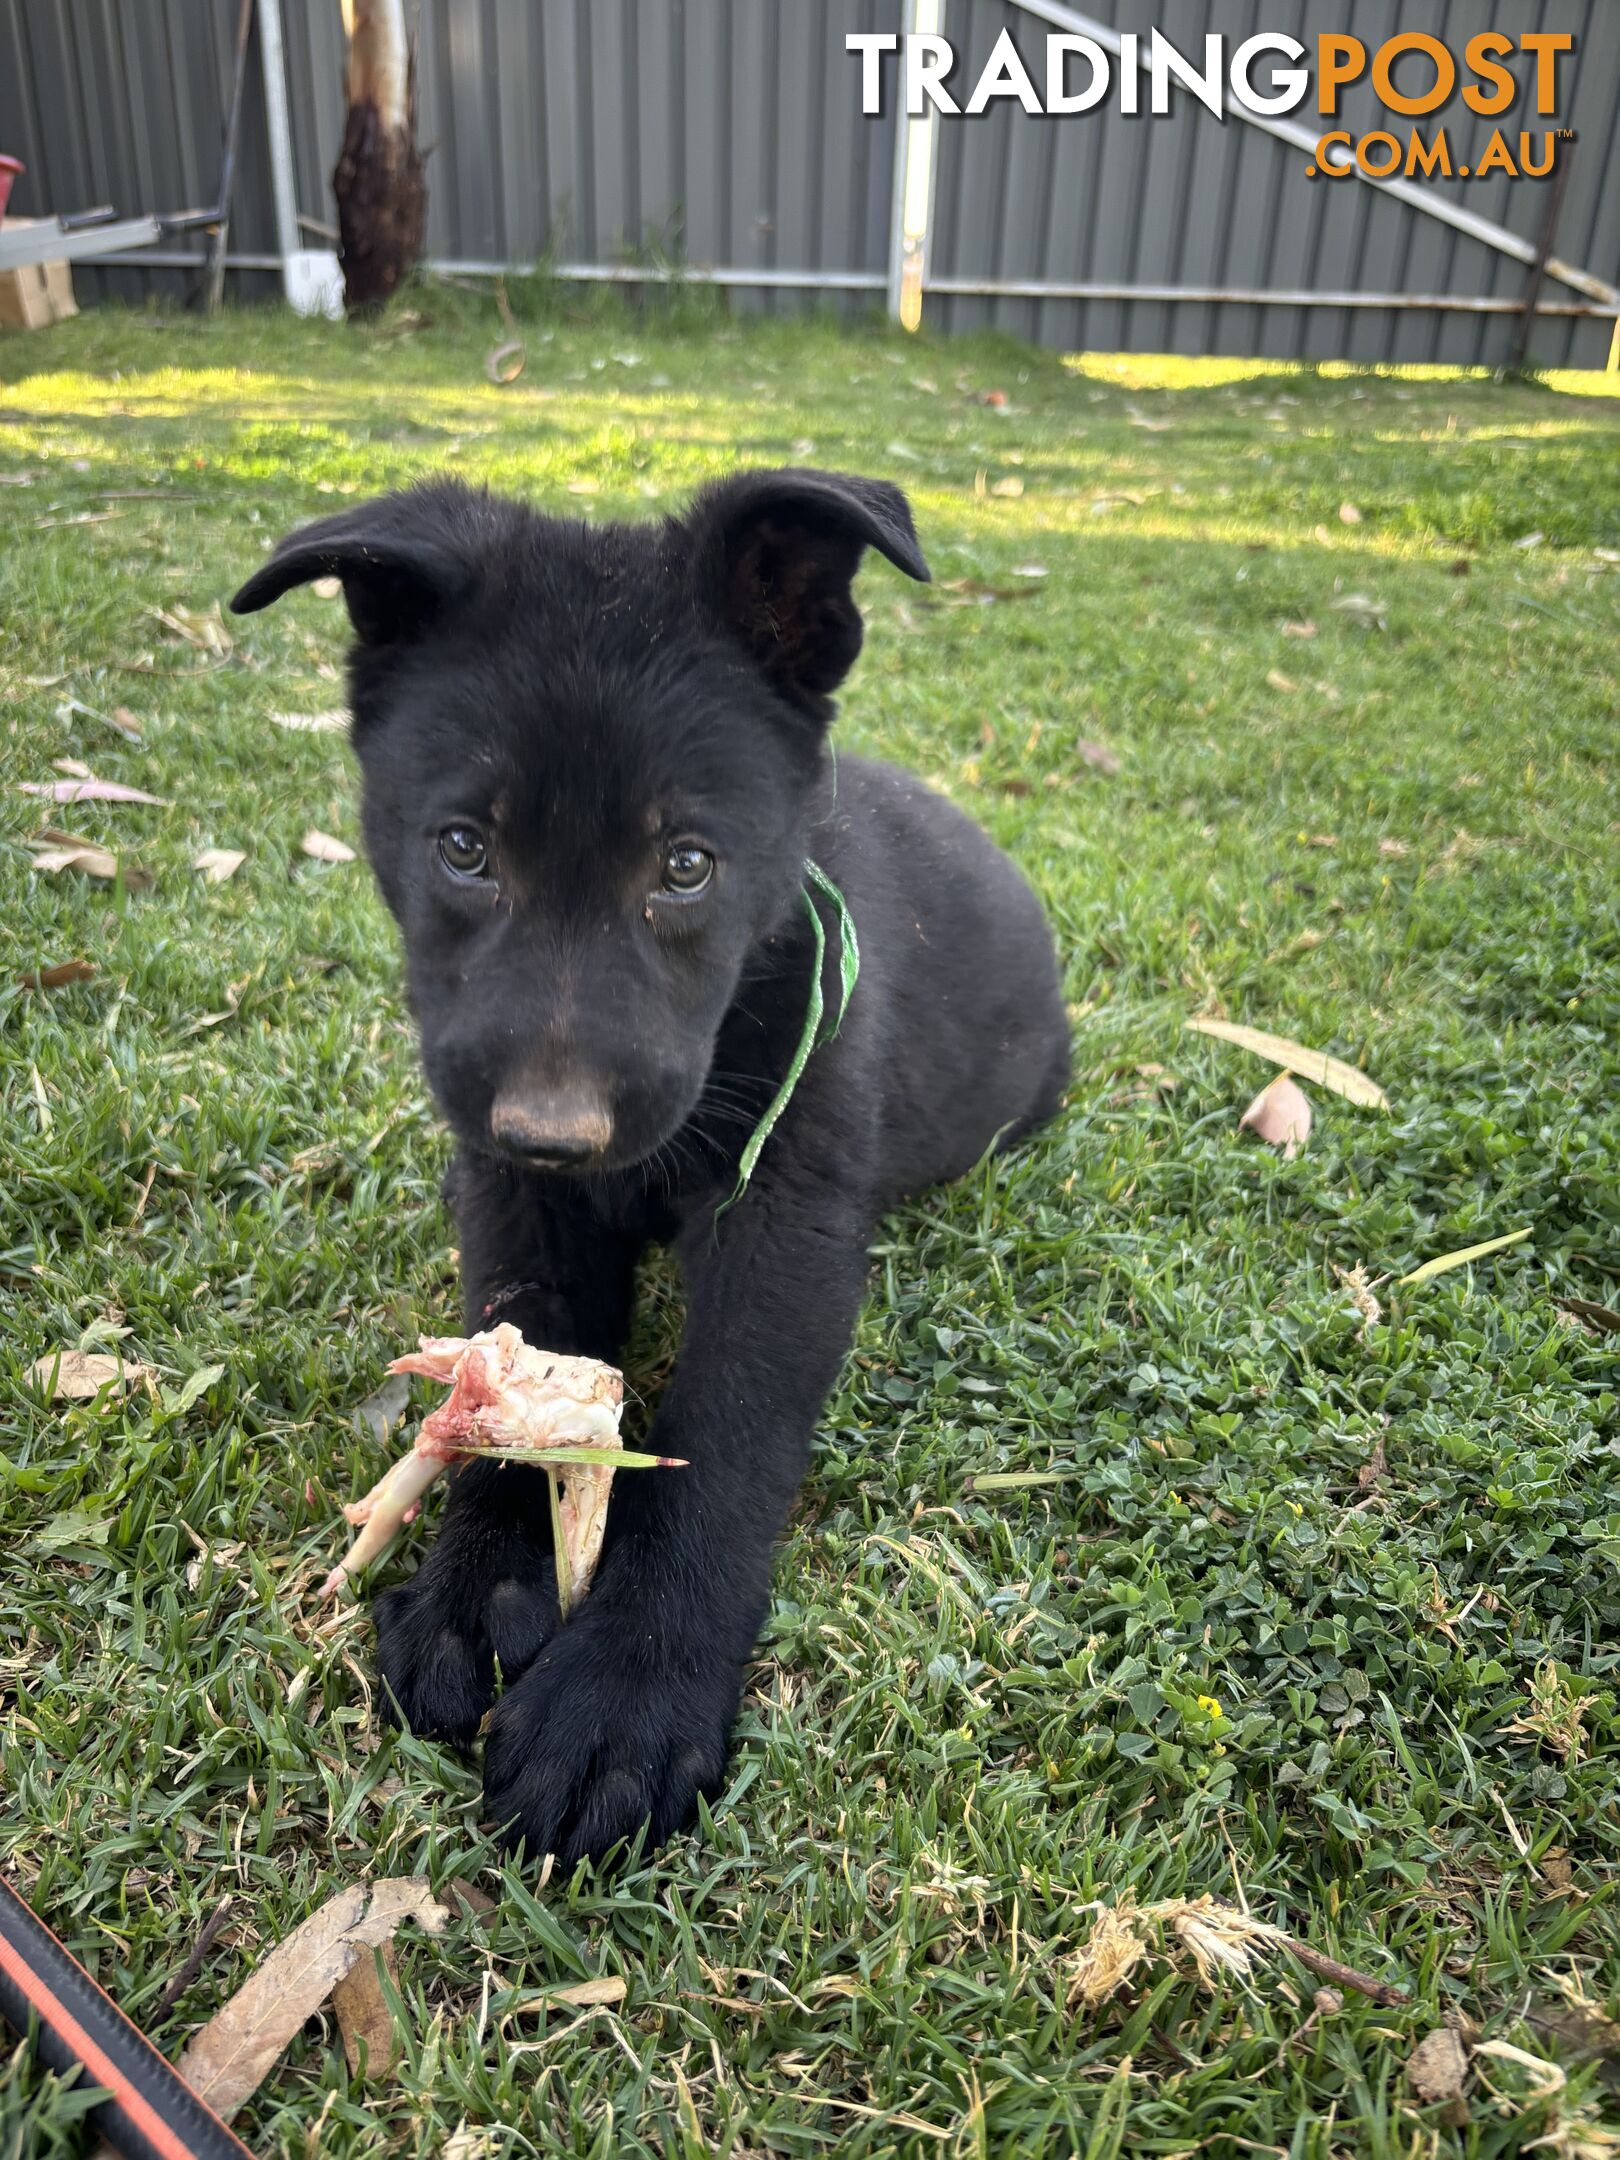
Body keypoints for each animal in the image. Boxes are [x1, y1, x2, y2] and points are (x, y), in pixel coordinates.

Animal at [228, 468, 1067, 1857]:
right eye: (464, 848)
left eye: (685, 867)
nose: (551, 1131)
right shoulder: (511, 1196)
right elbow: (515, 1358)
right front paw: (477, 1581)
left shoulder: (786, 1218)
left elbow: (724, 1439)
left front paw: (627, 1687)